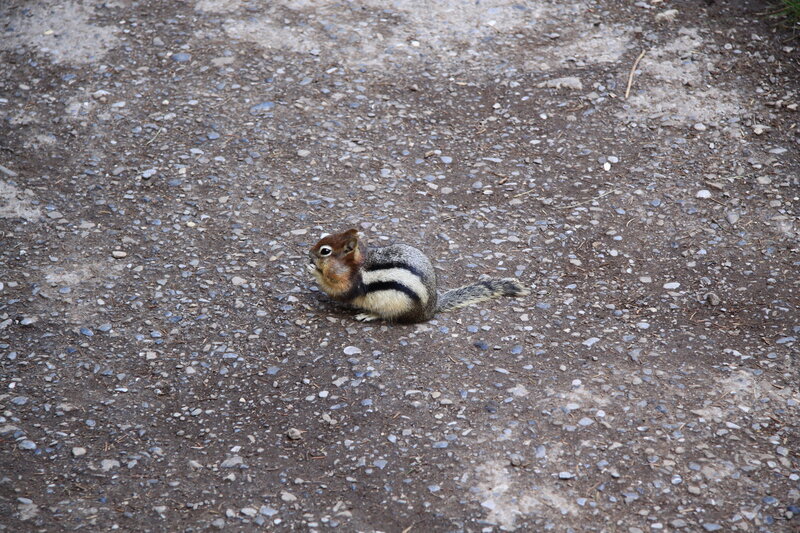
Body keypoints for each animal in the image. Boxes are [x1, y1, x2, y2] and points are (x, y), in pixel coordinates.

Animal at [307, 228, 529, 323]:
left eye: (325, 251)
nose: (309, 253)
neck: (356, 265)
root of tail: (430, 309)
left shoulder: (349, 283)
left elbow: (337, 290)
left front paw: (314, 271)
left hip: (395, 305)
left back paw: (369, 314)